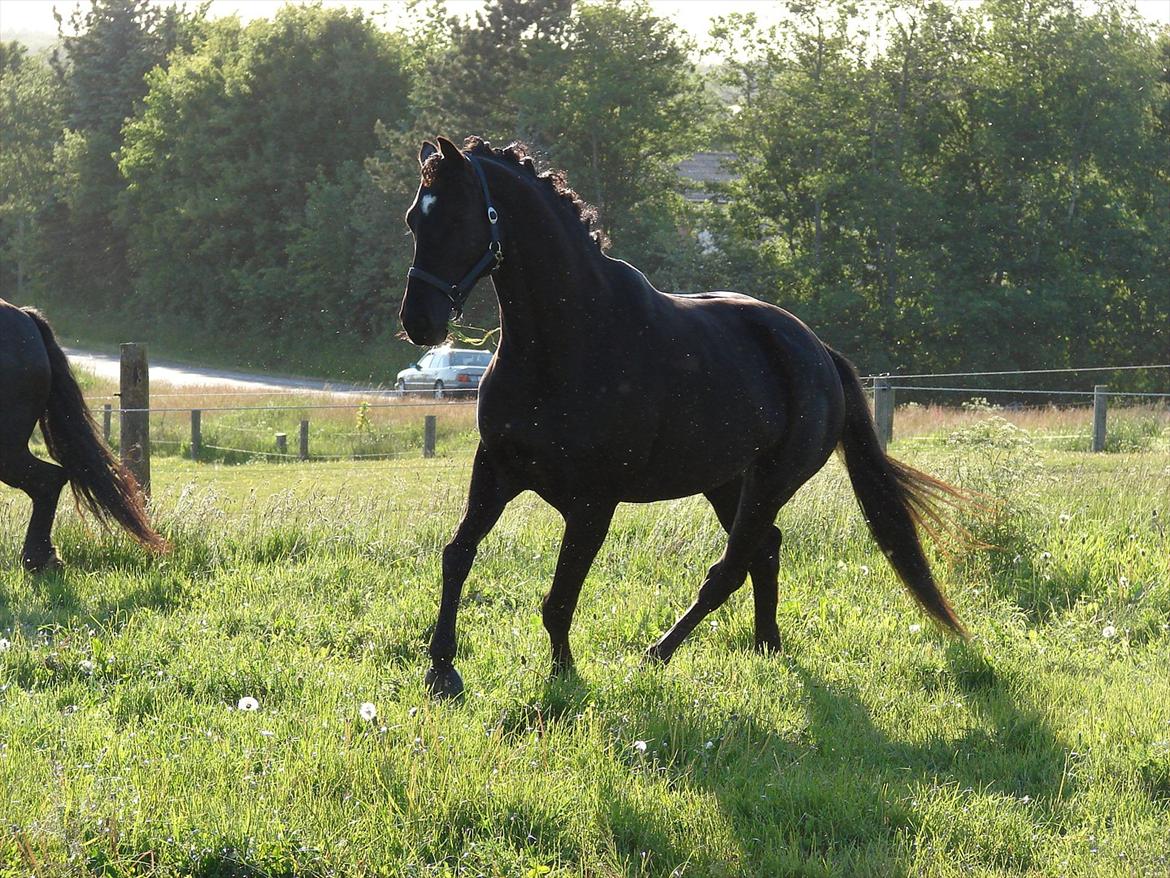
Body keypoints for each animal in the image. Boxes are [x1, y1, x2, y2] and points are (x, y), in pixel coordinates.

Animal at [397, 137, 964, 702]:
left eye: (459, 217)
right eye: (413, 220)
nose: (418, 321)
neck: (567, 340)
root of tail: (820, 353)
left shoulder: (592, 503)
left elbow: (560, 597)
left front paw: (563, 677)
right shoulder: (496, 469)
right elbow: (458, 555)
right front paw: (442, 670)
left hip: (772, 481)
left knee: (729, 568)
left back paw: (657, 653)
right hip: (727, 481)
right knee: (763, 550)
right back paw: (766, 644)